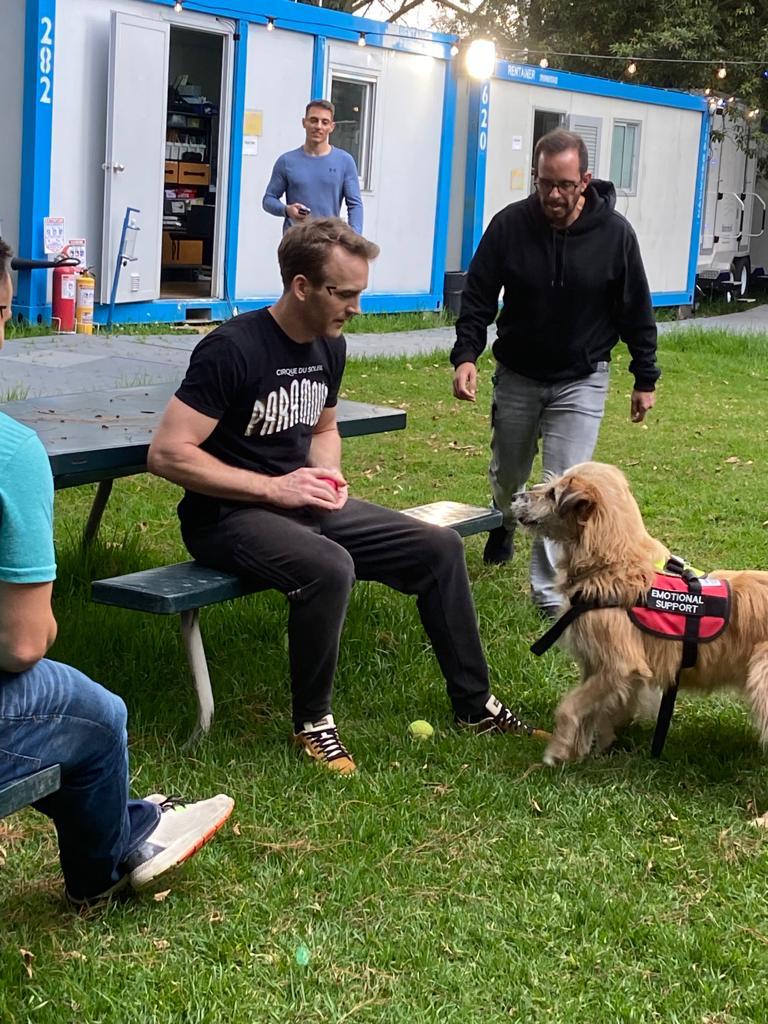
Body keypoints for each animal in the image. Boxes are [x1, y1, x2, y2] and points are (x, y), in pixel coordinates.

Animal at [512, 464, 768, 770]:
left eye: (553, 493)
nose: (515, 496)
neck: (612, 563)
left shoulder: (620, 664)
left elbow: (570, 706)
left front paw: (559, 750)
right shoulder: (597, 664)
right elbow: (593, 709)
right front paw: (584, 747)